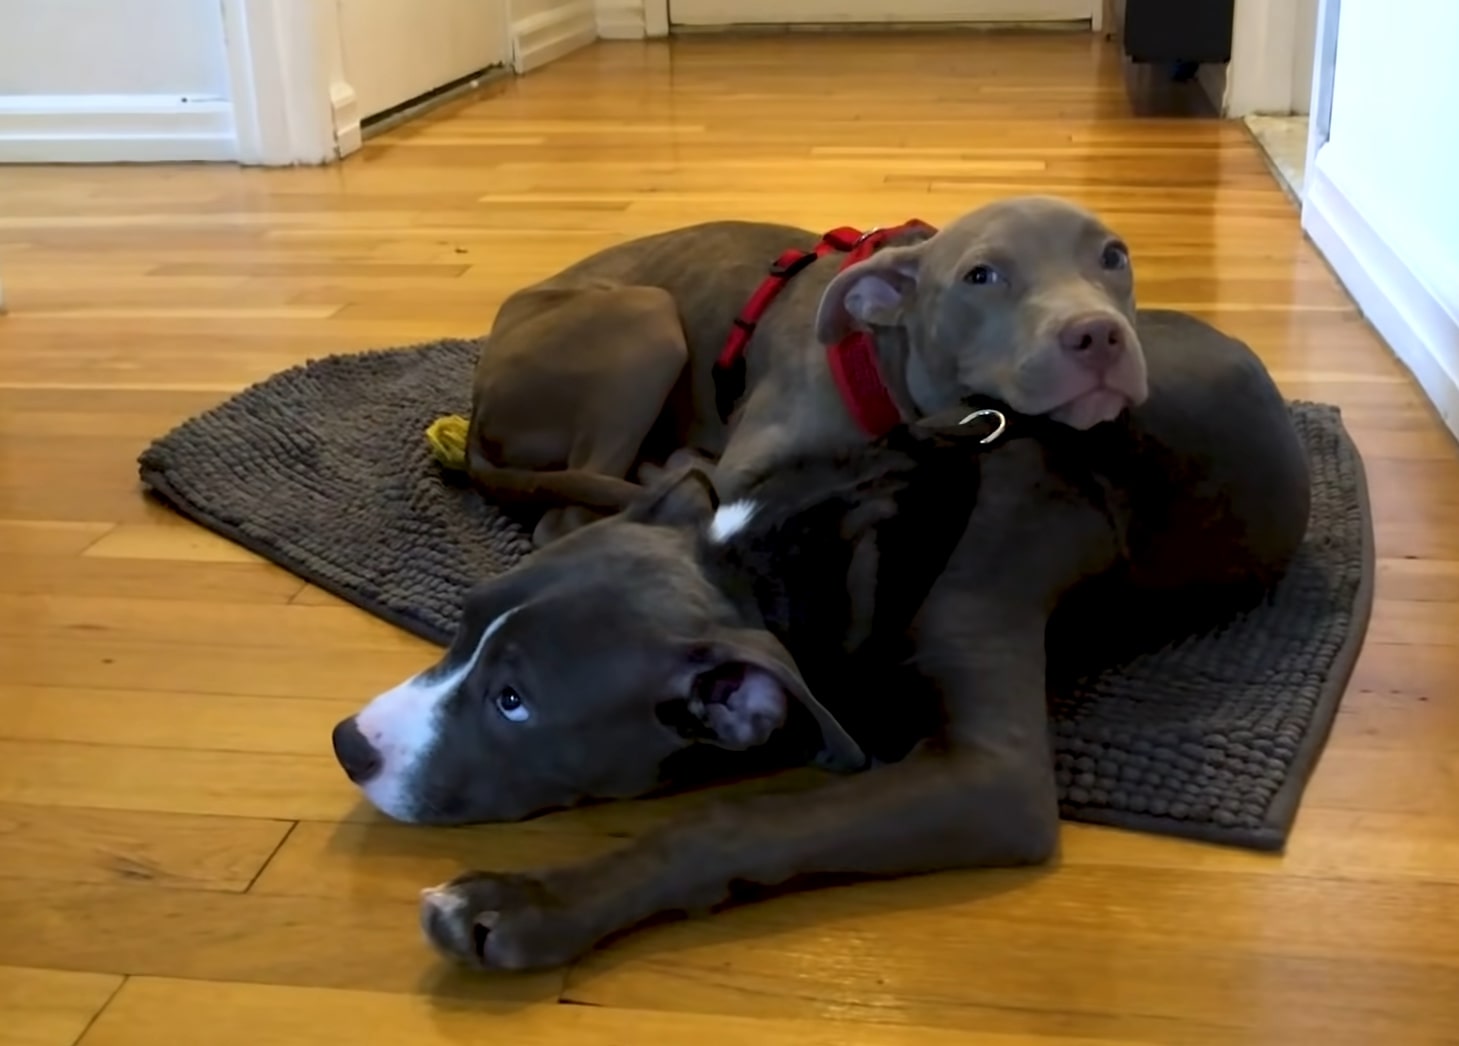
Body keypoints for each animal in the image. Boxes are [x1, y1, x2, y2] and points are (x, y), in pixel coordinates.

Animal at [331, 306, 1313, 968]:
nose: (349, 744)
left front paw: (525, 905)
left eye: (513, 703)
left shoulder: (991, 778)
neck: (780, 553)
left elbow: (739, 823)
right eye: (461, 620)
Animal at [455, 192, 1149, 545]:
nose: (1099, 335)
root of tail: (477, 405)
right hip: (644, 321)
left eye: (1114, 256)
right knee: (563, 518)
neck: (880, 362)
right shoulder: (746, 465)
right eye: (981, 276)